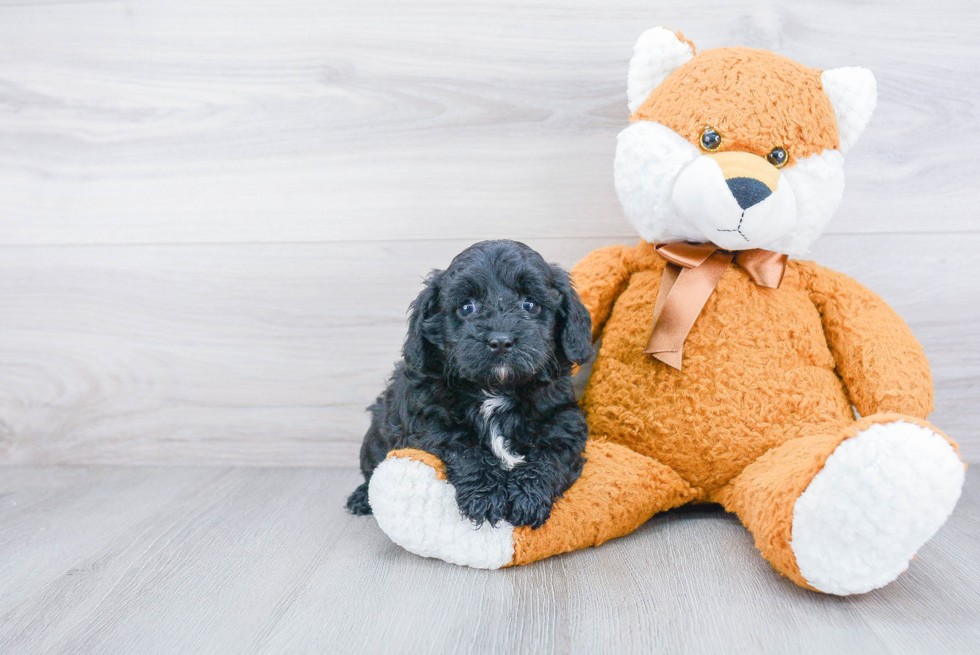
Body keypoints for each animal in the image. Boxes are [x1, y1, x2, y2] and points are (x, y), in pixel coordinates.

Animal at [348, 240, 592, 528]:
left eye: (530, 304)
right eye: (467, 307)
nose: (500, 341)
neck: (495, 389)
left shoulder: (563, 421)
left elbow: (550, 456)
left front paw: (527, 497)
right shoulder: (430, 420)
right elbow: (465, 450)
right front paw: (487, 498)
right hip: (374, 438)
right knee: (371, 470)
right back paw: (361, 498)